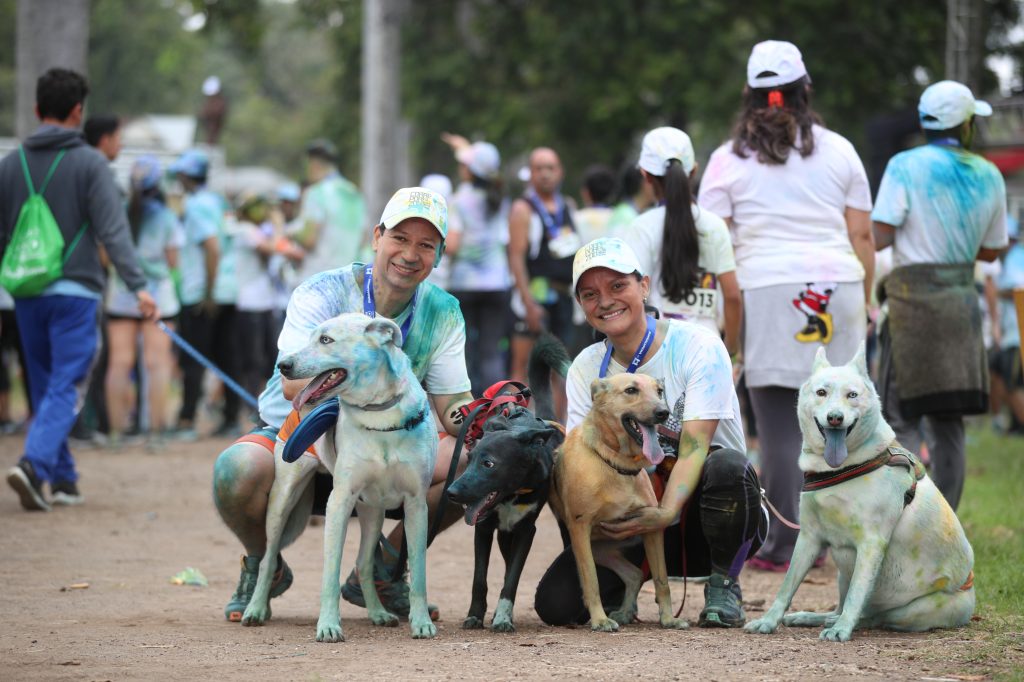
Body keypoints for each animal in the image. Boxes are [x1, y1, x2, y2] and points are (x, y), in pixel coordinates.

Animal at [549, 372, 688, 632]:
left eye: (659, 391)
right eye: (631, 390)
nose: (663, 412)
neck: (616, 462)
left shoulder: (651, 528)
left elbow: (662, 580)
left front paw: (668, 618)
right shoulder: (580, 529)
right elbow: (591, 580)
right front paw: (600, 619)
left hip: (603, 549)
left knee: (634, 574)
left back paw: (625, 611)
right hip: (590, 547)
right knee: (629, 574)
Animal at [745, 345, 974, 642]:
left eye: (852, 395)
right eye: (822, 392)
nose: (835, 418)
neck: (841, 468)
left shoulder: (871, 543)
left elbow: (856, 595)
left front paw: (842, 630)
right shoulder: (809, 537)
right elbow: (786, 586)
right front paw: (768, 621)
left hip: (910, 609)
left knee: (871, 615)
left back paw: (838, 622)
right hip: (843, 571)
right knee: (840, 607)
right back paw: (812, 617)